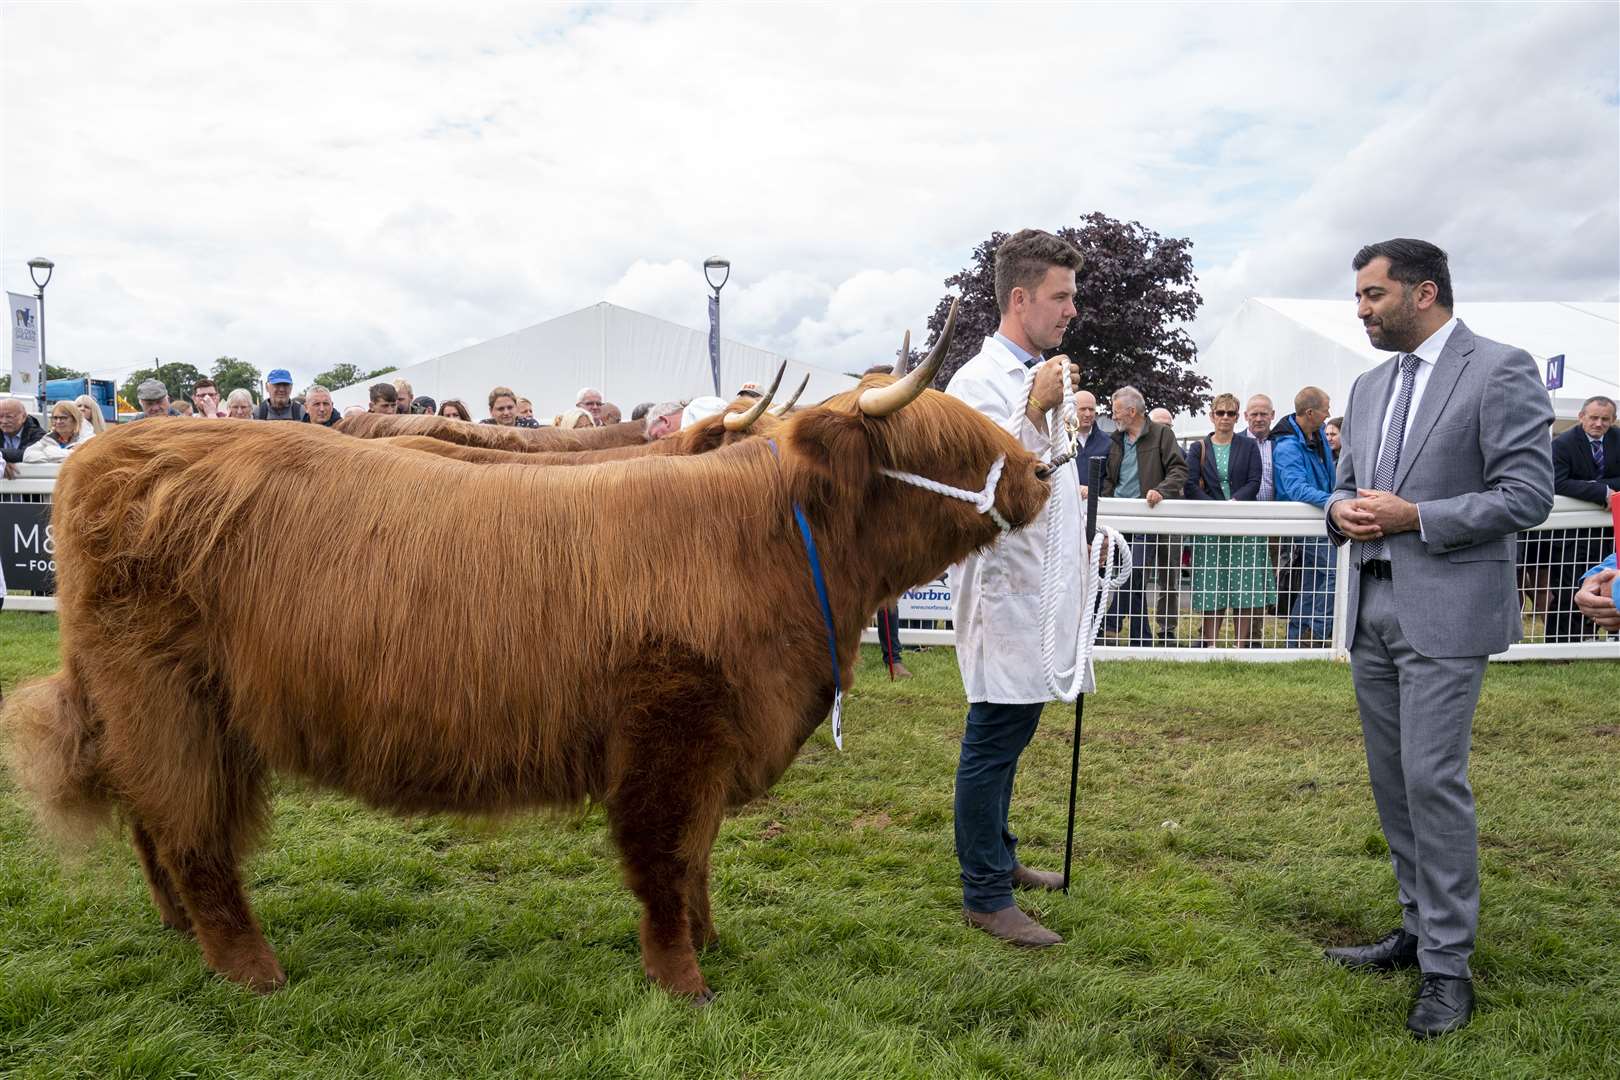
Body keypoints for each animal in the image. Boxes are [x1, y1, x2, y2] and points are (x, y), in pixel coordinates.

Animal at [3, 299, 1049, 1003]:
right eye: (948, 443)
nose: (1044, 471)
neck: (771, 544)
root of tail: (115, 453)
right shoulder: (670, 731)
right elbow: (666, 859)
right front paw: (684, 979)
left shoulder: (712, 742)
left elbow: (700, 857)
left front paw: (711, 942)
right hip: (166, 701)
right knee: (193, 834)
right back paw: (251, 968)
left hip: (163, 709)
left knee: (157, 821)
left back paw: (181, 930)